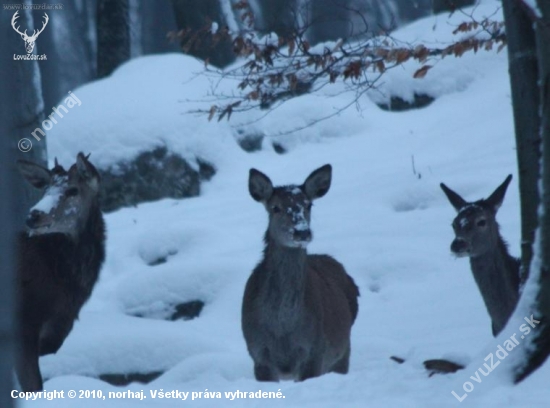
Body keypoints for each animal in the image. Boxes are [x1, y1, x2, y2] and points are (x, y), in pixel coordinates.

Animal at [244, 164, 360, 380]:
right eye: (275, 207)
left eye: (308, 205)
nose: (302, 232)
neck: (282, 327)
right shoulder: (257, 353)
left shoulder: (315, 350)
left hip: (342, 351)